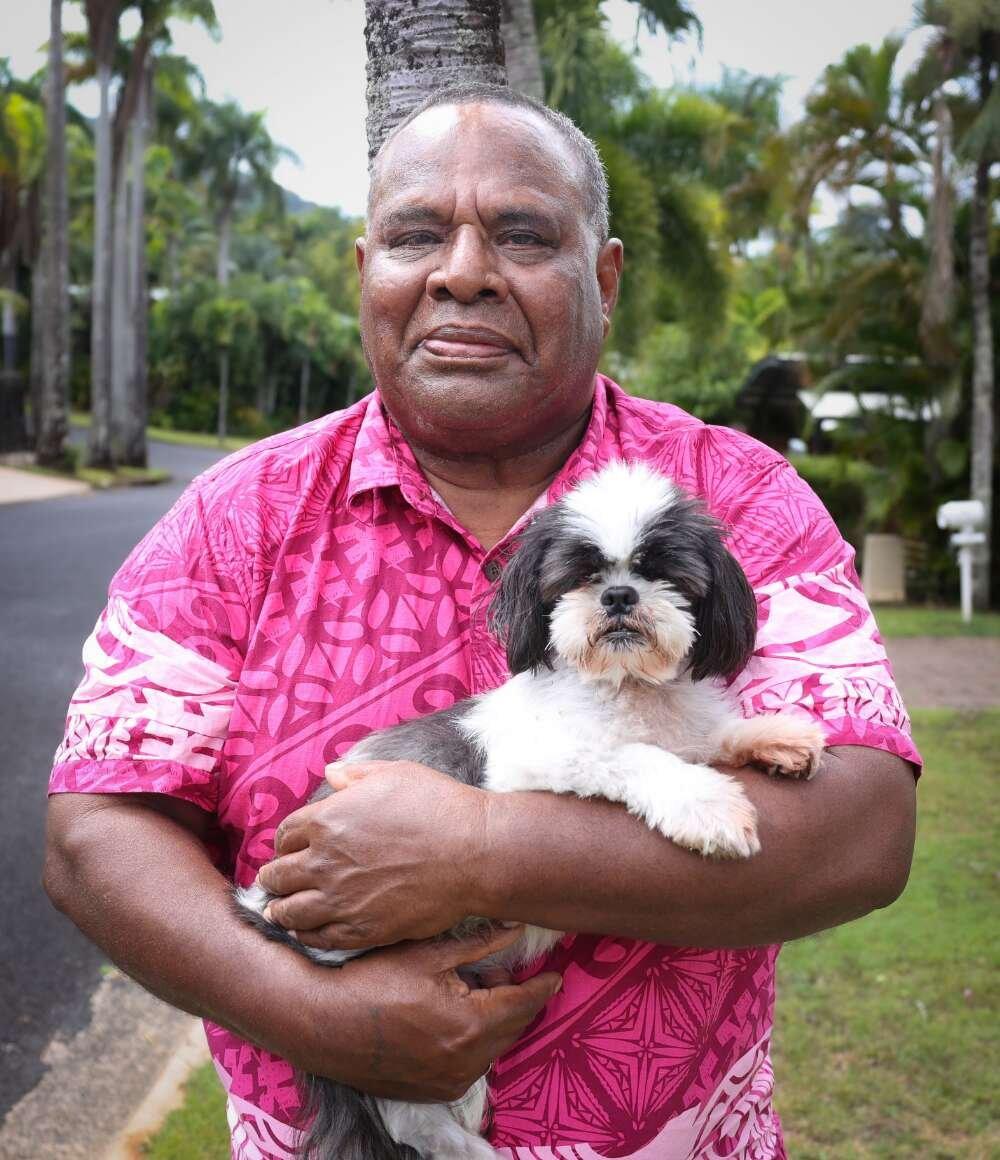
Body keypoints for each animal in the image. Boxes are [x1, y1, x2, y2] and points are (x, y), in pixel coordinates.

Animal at [238, 459, 825, 1160]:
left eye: (660, 570)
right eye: (579, 576)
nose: (619, 596)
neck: (627, 690)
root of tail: (263, 911)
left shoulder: (683, 727)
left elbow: (708, 736)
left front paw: (774, 737)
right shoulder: (535, 765)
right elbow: (634, 757)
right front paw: (705, 802)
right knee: (406, 1114)